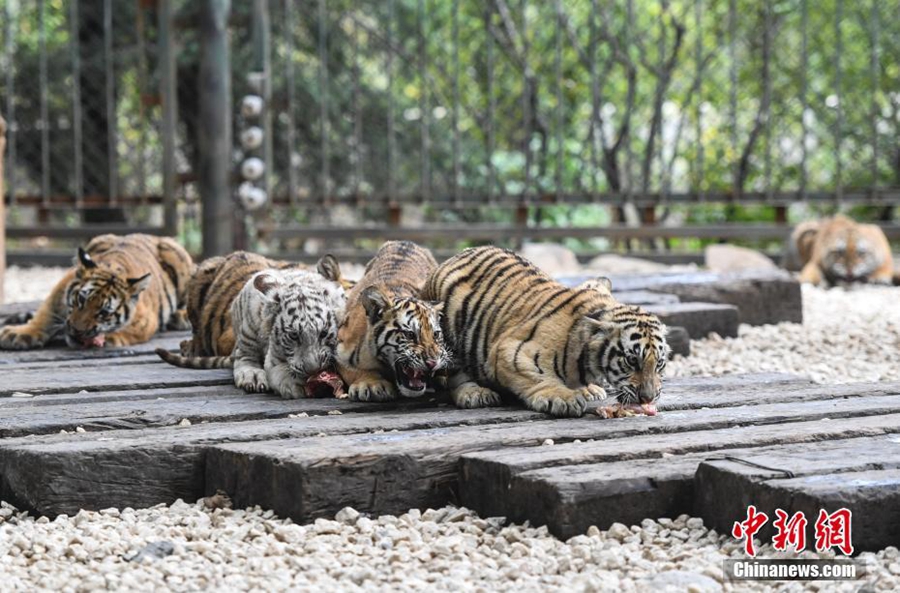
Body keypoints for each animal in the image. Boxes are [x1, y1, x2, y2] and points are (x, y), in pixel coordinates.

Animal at [0, 234, 193, 350]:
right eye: (80, 300)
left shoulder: (146, 320)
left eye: (104, 313)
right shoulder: (59, 290)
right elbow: (43, 314)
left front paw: (109, 338)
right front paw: (18, 333)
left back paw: (181, 317)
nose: (76, 331)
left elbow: (129, 331)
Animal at [157, 256, 348, 398]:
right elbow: (279, 371)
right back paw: (252, 376)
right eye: (294, 336)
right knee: (243, 357)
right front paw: (294, 385)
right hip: (248, 324)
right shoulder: (273, 358)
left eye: (324, 333)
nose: (313, 370)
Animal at [336, 241, 450, 401]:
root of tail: (406, 242)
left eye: (436, 335)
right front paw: (371, 384)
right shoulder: (339, 349)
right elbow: (353, 370)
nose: (432, 363)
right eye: (410, 335)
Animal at [422, 246, 670, 418]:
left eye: (659, 363)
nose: (648, 398)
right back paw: (474, 393)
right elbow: (538, 377)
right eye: (631, 361)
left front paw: (588, 389)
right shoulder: (510, 351)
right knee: (455, 375)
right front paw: (564, 398)